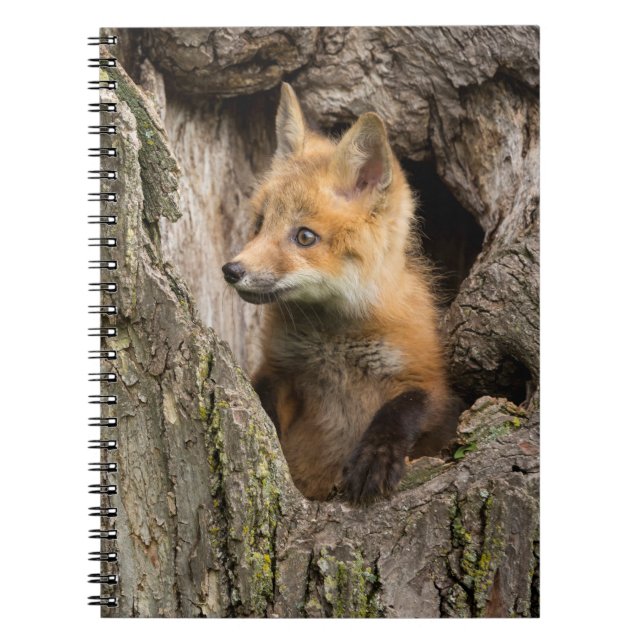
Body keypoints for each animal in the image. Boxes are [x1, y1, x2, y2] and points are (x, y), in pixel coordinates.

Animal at [222, 83, 461, 504]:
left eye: (305, 237)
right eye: (260, 223)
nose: (232, 270)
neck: (334, 344)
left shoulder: (431, 381)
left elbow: (403, 408)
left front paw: (375, 457)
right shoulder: (279, 370)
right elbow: (263, 404)